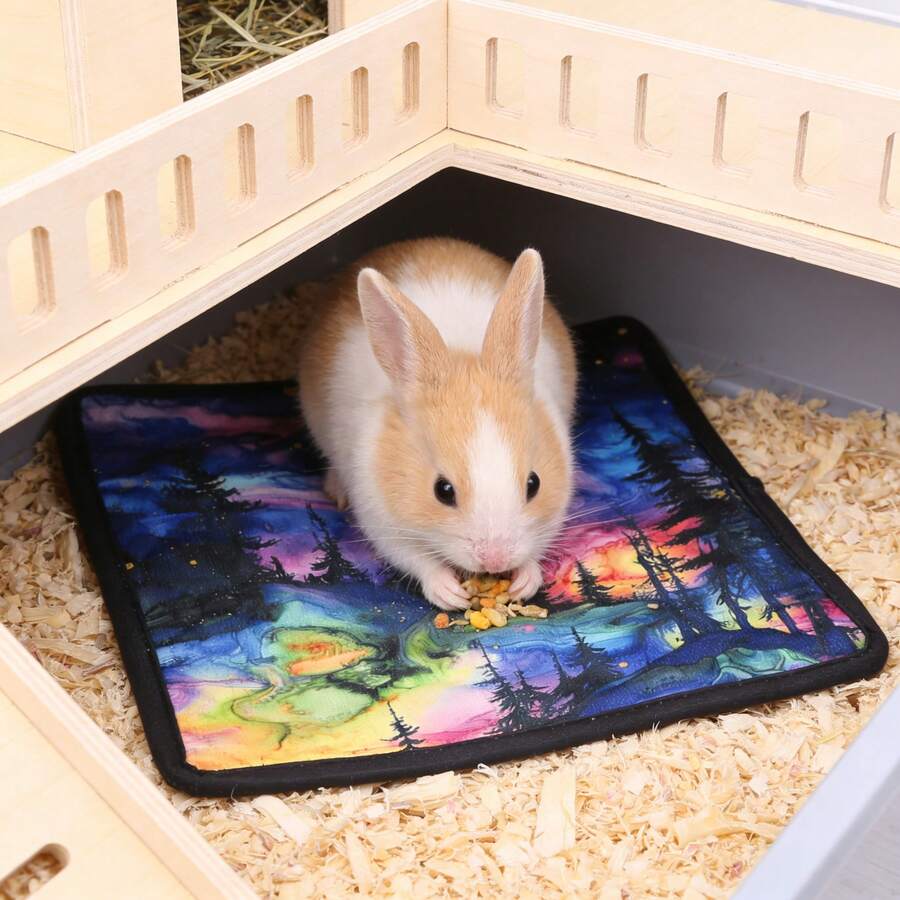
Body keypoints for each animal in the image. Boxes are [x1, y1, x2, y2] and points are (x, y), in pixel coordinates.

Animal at [298, 237, 577, 611]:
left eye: (534, 484)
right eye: (442, 490)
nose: (495, 559)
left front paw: (524, 582)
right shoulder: (382, 519)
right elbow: (415, 559)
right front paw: (449, 592)